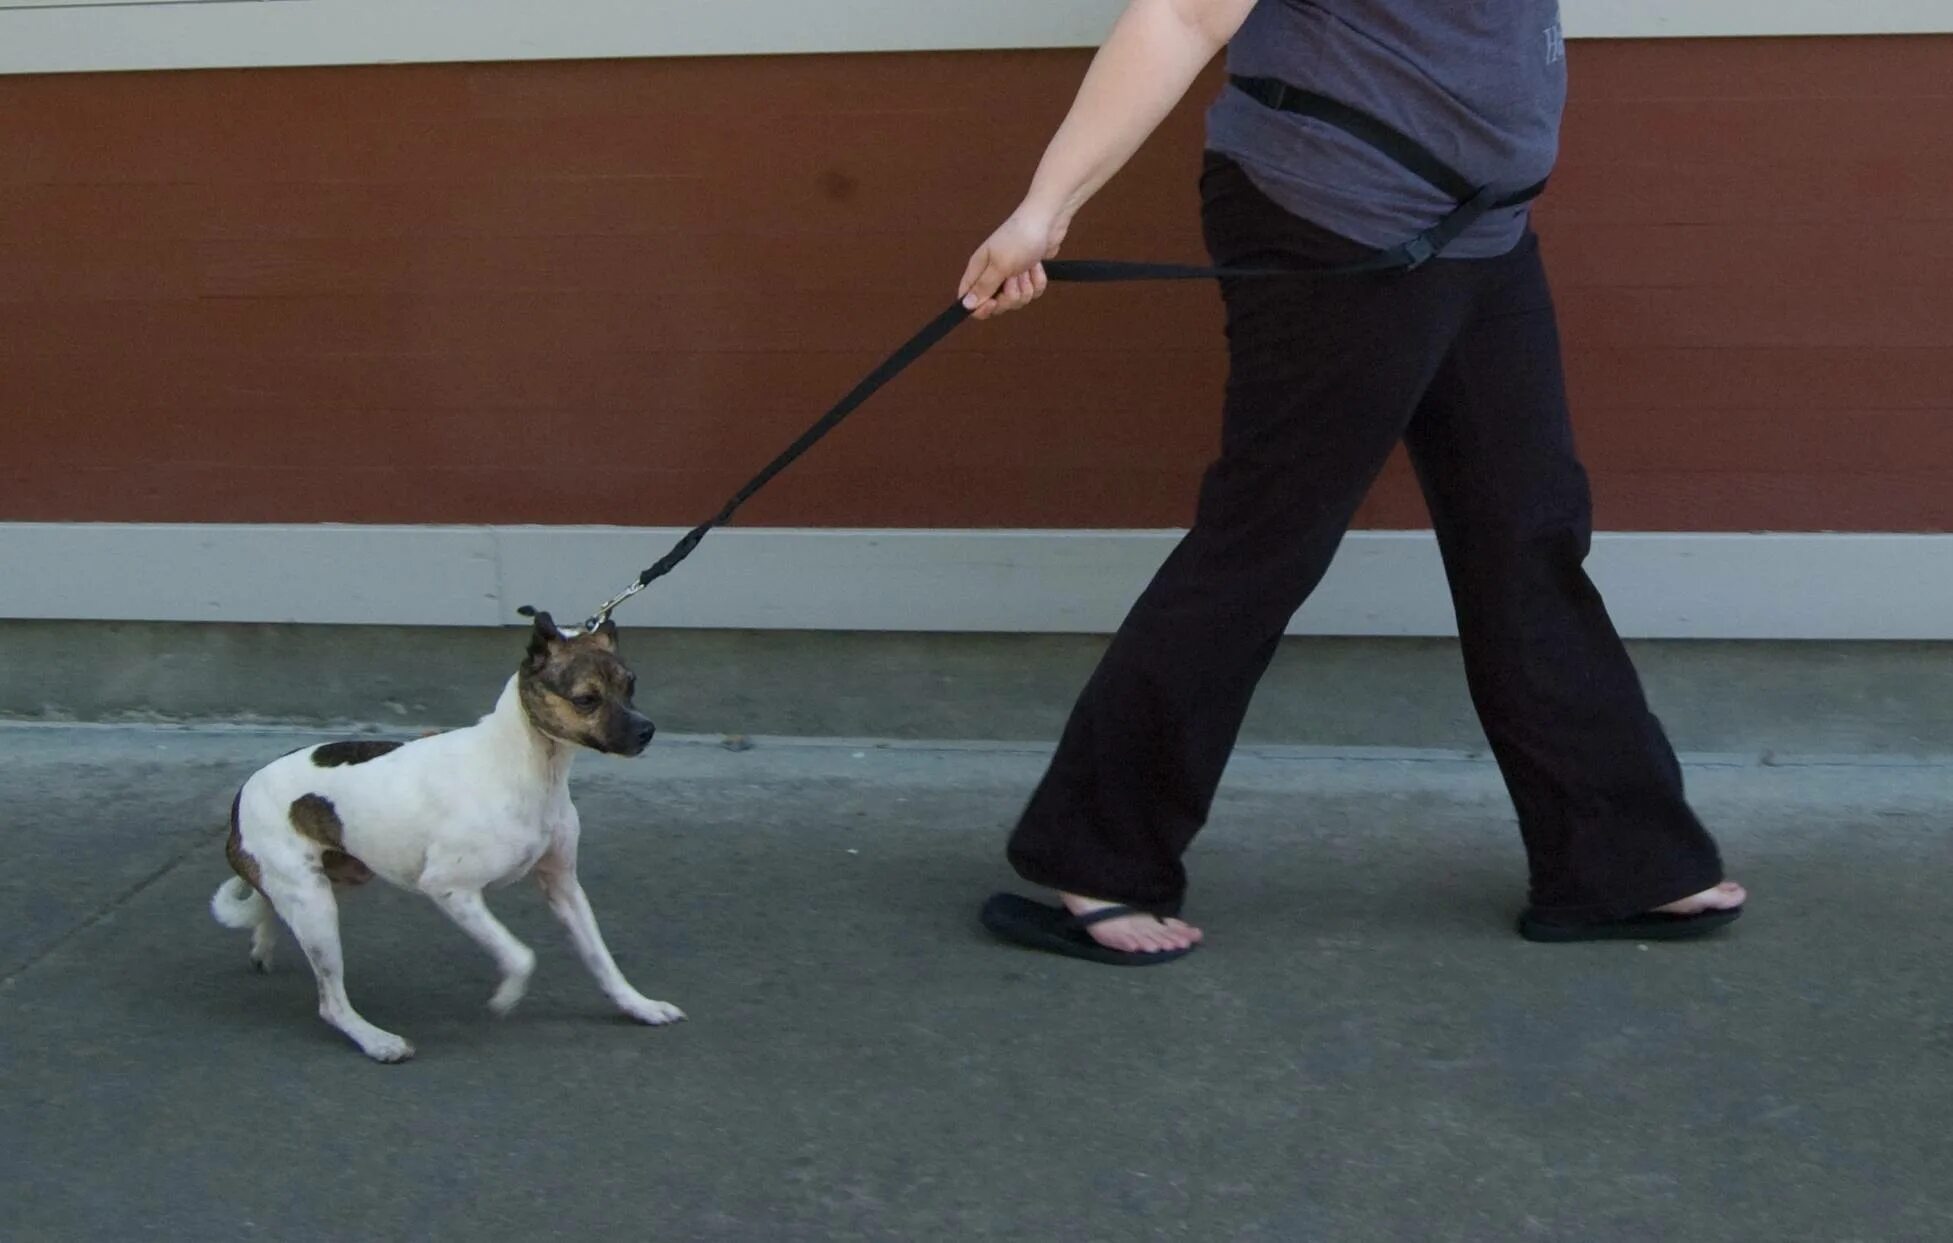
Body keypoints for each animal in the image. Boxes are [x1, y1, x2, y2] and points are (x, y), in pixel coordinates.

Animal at [210, 609, 683, 1055]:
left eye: (631, 686)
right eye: (586, 699)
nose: (647, 731)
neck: (526, 767)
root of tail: (242, 794)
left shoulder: (563, 886)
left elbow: (601, 959)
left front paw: (638, 1006)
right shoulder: (451, 890)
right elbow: (521, 956)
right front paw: (507, 997)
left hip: (338, 879)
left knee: (269, 906)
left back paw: (263, 945)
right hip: (317, 908)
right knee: (331, 1003)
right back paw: (377, 1041)